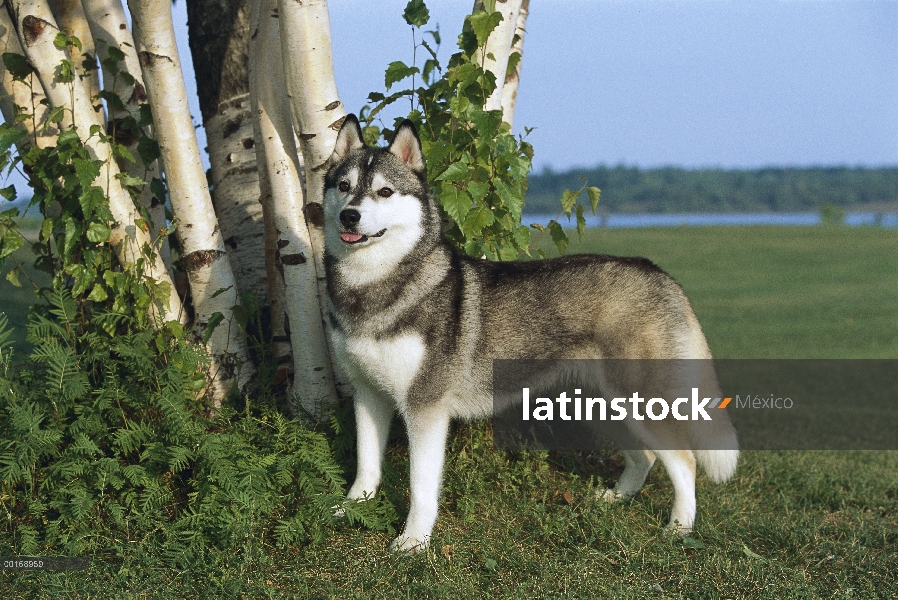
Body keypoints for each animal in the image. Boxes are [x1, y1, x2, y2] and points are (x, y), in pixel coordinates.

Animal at [320, 113, 736, 552]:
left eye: (384, 191)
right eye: (344, 186)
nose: (350, 216)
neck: (371, 286)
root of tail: (658, 272)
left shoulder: (425, 406)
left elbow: (421, 486)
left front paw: (414, 541)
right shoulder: (368, 394)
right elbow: (366, 467)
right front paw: (350, 508)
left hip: (638, 401)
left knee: (684, 460)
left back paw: (680, 527)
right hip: (603, 405)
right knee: (646, 457)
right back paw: (614, 498)